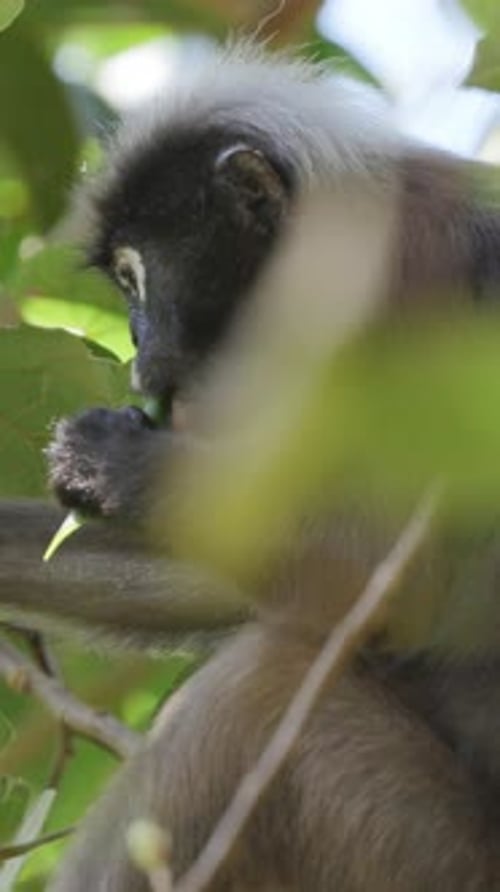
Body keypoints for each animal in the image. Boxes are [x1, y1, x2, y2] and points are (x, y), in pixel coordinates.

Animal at [43, 42, 500, 890]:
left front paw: (110, 461)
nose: (141, 355)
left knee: (254, 693)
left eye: (138, 275)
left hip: (426, 854)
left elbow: (404, 580)